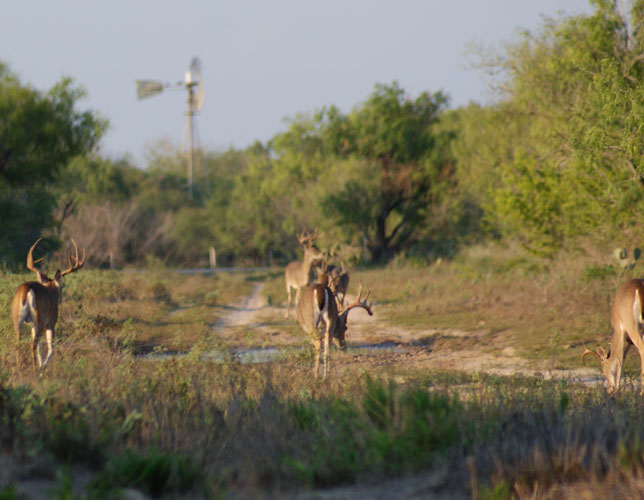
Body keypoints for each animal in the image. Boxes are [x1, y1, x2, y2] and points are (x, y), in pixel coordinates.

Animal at [11, 238, 86, 372]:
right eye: (62, 287)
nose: (60, 299)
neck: (51, 292)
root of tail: (27, 289)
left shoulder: (32, 325)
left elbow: (41, 348)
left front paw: (42, 364)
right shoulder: (51, 323)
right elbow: (51, 349)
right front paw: (43, 366)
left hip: (17, 318)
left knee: (19, 342)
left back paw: (19, 367)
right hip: (40, 319)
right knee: (33, 344)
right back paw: (35, 369)